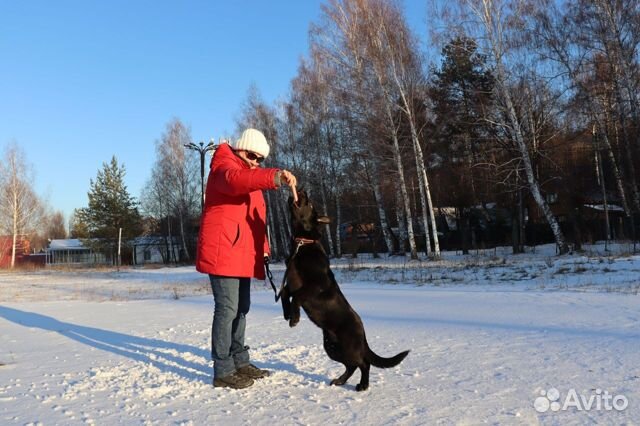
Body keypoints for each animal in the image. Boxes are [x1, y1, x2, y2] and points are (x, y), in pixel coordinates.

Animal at [280, 191, 410, 392]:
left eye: (309, 203)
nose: (302, 191)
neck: (303, 244)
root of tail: (363, 331)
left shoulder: (317, 284)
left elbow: (297, 296)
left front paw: (294, 318)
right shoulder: (290, 282)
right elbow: (285, 294)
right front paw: (288, 314)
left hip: (347, 347)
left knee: (364, 363)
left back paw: (363, 385)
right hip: (332, 347)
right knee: (352, 365)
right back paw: (340, 381)